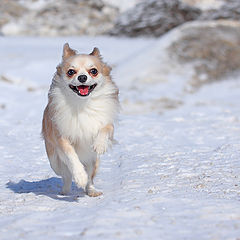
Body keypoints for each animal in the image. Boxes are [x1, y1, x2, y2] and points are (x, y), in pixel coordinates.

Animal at [42, 43, 120, 197]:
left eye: (93, 71)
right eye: (71, 72)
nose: (82, 77)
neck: (82, 104)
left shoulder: (106, 124)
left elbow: (106, 128)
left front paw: (100, 145)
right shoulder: (61, 137)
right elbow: (71, 156)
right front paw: (79, 176)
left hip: (93, 161)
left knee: (90, 177)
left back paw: (91, 190)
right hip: (54, 161)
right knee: (66, 174)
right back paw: (65, 191)